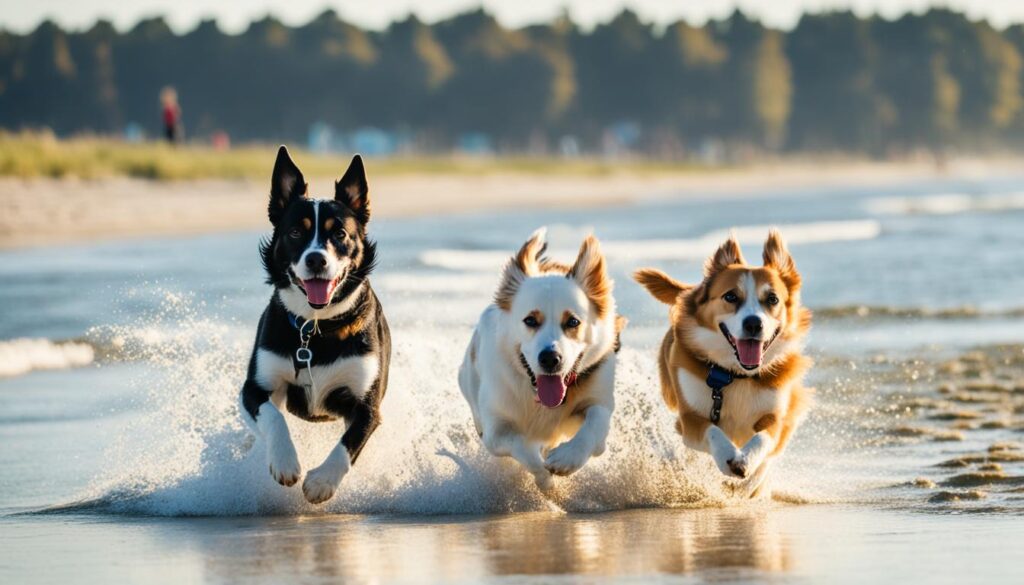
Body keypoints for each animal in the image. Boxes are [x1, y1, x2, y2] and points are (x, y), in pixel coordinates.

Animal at [237, 145, 389, 504]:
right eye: (295, 233)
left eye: (340, 234)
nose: (316, 258)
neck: (314, 329)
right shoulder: (254, 387)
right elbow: (273, 416)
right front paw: (284, 461)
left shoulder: (368, 404)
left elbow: (349, 444)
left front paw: (321, 482)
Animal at [458, 228, 622, 489]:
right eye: (530, 320)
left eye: (573, 321)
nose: (550, 358)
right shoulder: (495, 430)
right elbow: (522, 448)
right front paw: (546, 481)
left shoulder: (599, 397)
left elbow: (596, 423)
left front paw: (568, 458)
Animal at [634, 231, 811, 495]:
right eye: (730, 296)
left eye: (772, 299)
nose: (753, 323)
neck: (737, 374)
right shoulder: (689, 418)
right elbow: (712, 430)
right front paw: (730, 458)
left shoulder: (776, 414)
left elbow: (765, 437)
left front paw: (747, 463)